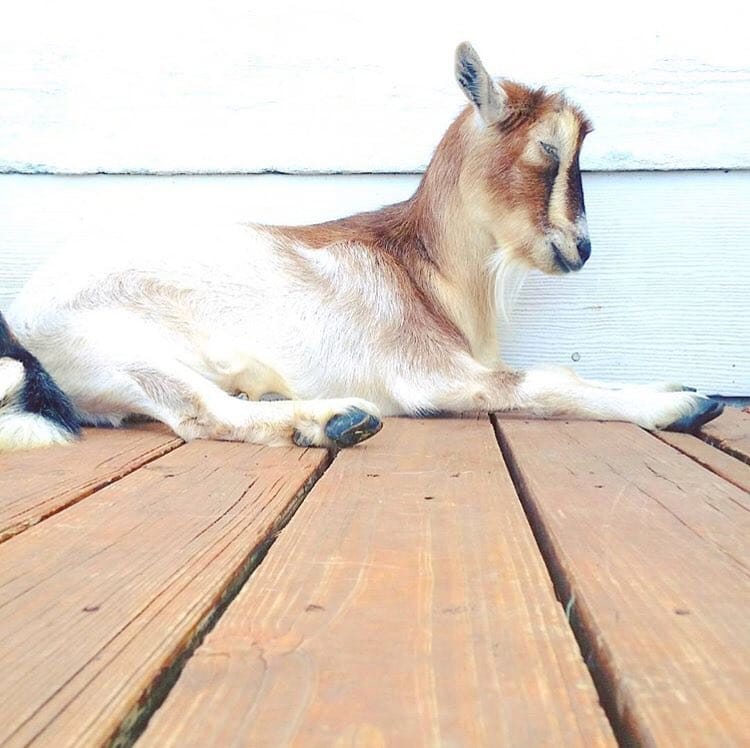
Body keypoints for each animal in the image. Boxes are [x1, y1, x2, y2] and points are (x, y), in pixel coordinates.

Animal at [0, 42, 723, 451]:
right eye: (548, 149)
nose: (581, 247)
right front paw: (683, 402)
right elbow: (549, 380)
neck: (422, 269)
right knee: (201, 412)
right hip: (124, 355)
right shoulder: (430, 373)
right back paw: (334, 421)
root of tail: (22, 320)